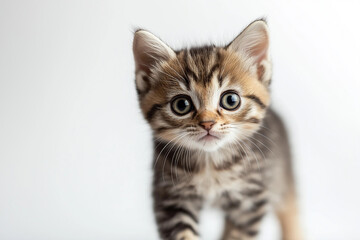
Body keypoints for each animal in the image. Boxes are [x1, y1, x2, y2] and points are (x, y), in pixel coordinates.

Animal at [131, 19, 300, 239]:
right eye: (181, 105)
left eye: (230, 100)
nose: (207, 123)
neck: (210, 162)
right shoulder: (170, 196)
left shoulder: (250, 201)